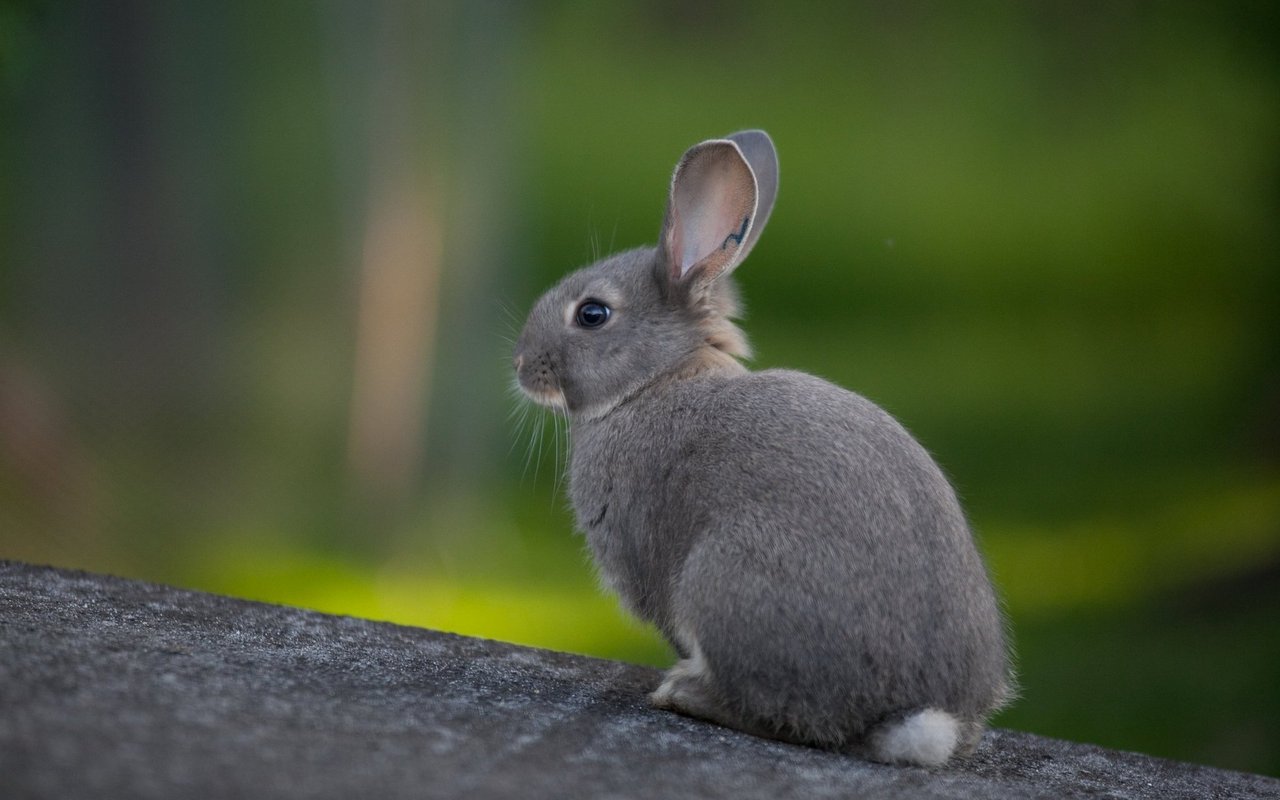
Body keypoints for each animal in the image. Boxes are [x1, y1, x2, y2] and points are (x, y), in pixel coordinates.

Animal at [509, 131, 1008, 768]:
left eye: (592, 314)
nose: (522, 365)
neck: (656, 379)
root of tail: (911, 717)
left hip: (722, 579)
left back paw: (682, 693)